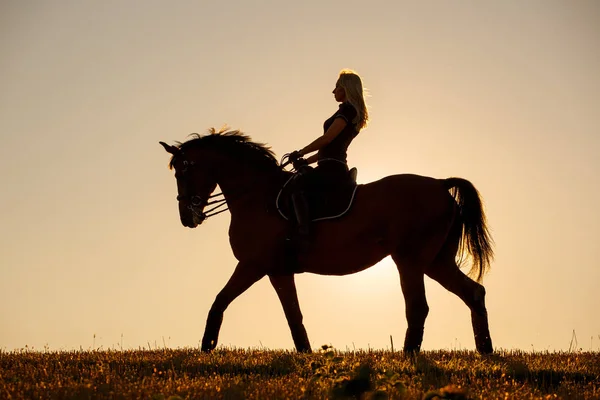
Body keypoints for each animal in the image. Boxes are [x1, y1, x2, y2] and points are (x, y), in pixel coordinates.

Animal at [158, 127, 492, 354]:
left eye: (182, 172)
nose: (187, 217)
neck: (255, 195)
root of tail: (440, 185)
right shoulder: (277, 270)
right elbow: (291, 315)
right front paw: (305, 355)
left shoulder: (255, 265)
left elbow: (222, 301)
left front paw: (206, 348)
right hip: (436, 262)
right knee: (474, 293)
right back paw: (485, 350)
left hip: (409, 260)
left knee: (419, 306)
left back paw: (409, 355)